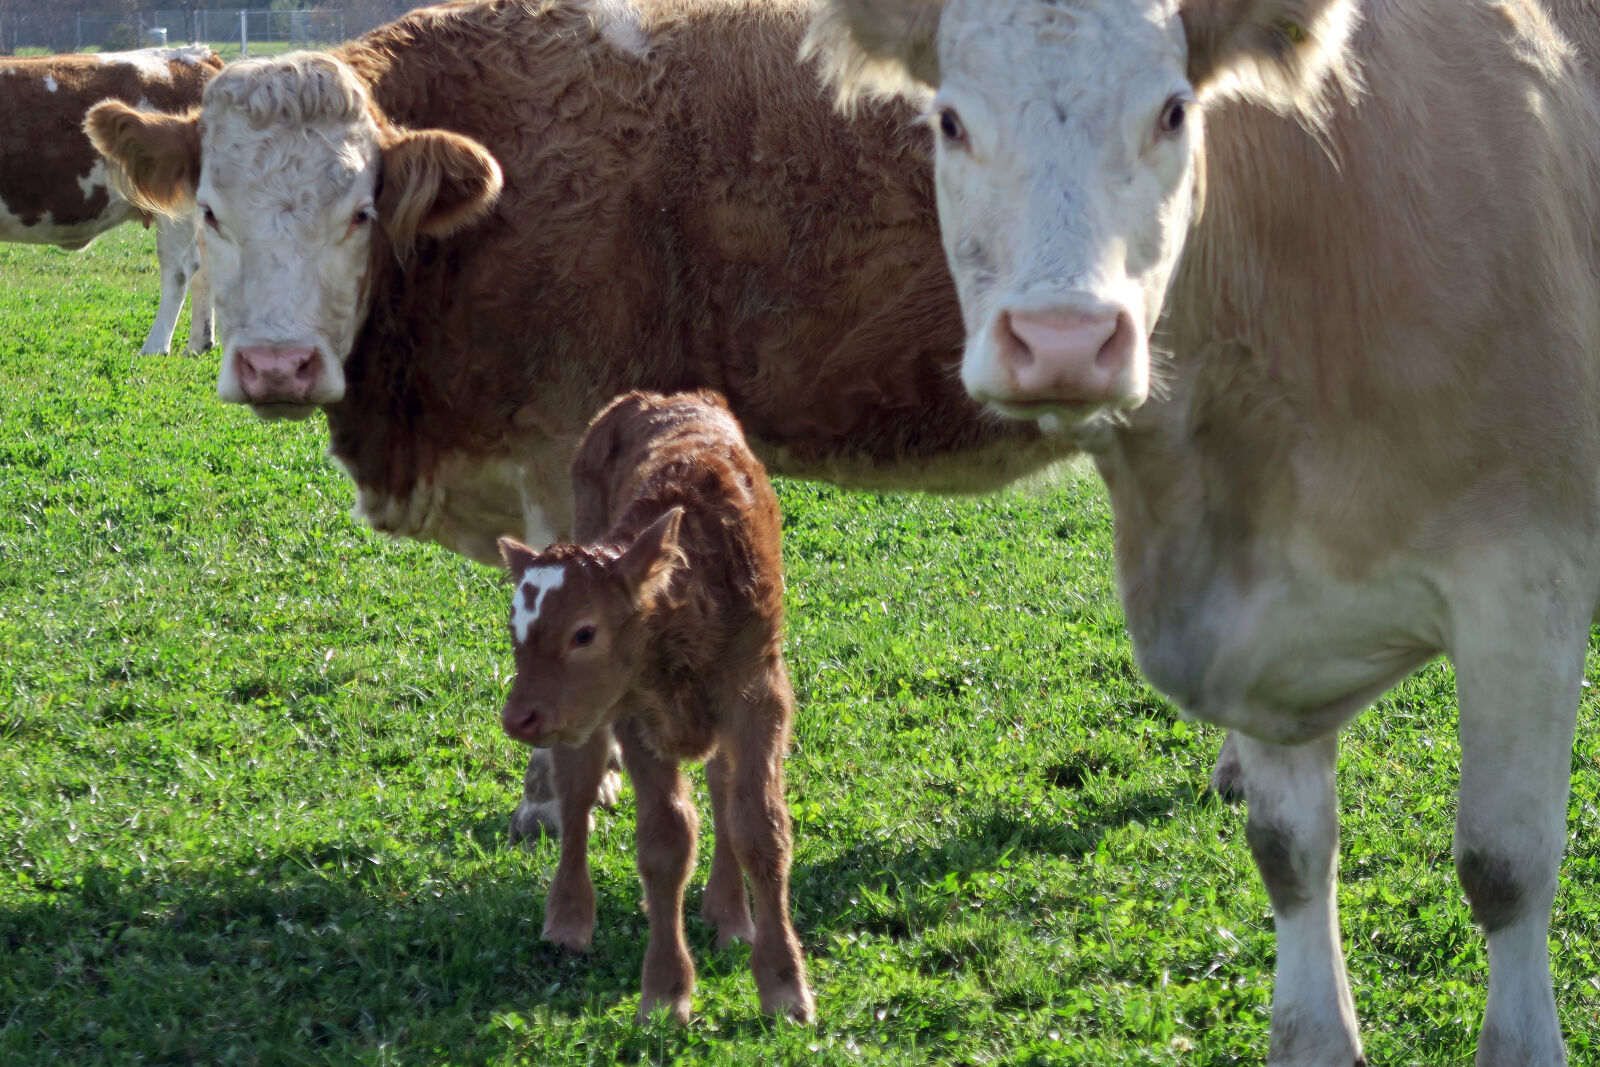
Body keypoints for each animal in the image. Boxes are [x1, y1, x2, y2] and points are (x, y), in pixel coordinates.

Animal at [498, 389, 813, 1024]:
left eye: (584, 632)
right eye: (517, 633)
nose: (518, 717)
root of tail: (659, 397)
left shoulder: (758, 695)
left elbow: (760, 827)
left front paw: (784, 987)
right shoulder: (631, 711)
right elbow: (666, 842)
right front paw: (667, 993)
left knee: (721, 782)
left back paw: (730, 916)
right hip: (585, 716)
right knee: (577, 786)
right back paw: (567, 920)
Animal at [811, 0, 1600, 1062]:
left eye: (1174, 111)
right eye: (949, 121)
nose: (1063, 341)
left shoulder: (1524, 585)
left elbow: (1504, 865)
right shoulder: (1251, 617)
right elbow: (1288, 853)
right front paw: (1315, 1035)